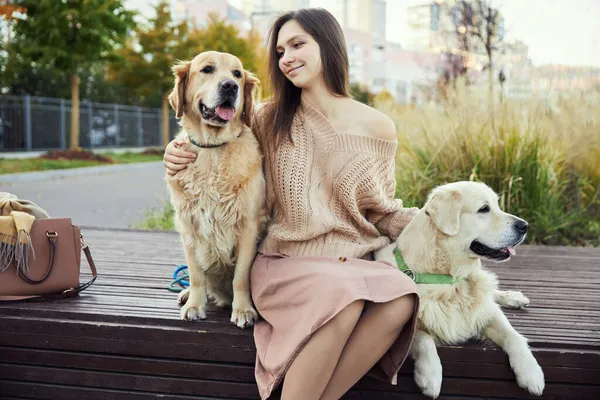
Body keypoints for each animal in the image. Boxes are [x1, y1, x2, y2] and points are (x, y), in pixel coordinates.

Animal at [378, 181, 548, 396]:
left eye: (497, 205)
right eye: (484, 209)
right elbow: (423, 338)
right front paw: (430, 375)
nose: (524, 226)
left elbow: (513, 335)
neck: (450, 280)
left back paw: (515, 297)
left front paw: (531, 372)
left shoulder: (486, 311)